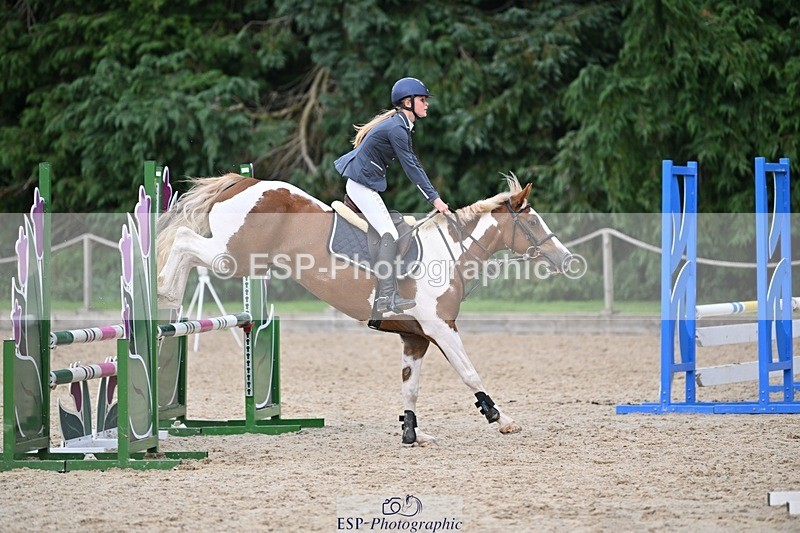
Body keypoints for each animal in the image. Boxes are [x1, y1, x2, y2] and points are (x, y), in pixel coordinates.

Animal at [156, 172, 576, 445]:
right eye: (533, 223)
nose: (566, 259)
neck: (451, 251)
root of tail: (244, 182)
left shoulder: (415, 337)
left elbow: (410, 388)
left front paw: (412, 432)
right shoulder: (441, 328)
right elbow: (470, 373)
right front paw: (501, 419)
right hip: (234, 257)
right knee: (182, 241)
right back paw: (165, 295)